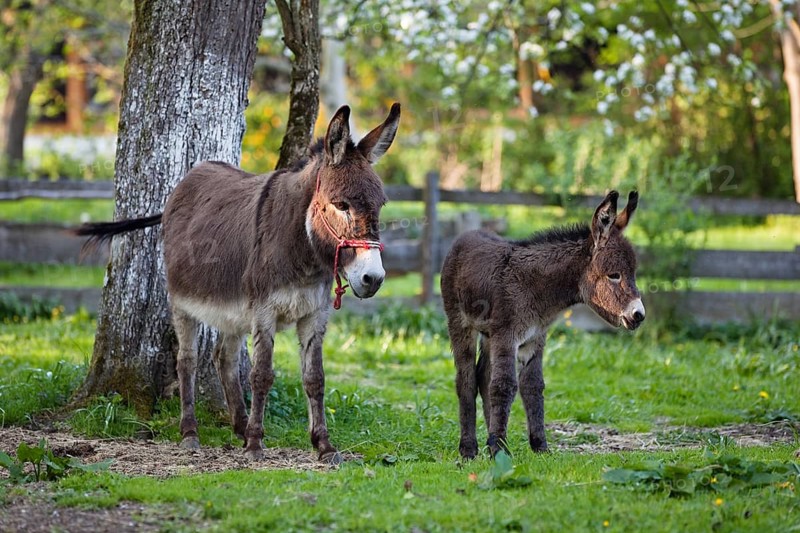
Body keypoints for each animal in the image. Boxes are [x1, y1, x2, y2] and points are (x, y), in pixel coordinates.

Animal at [74, 103, 401, 464]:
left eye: (380, 206)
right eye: (341, 205)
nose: (373, 278)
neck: (303, 252)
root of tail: (188, 180)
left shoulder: (314, 314)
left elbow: (315, 378)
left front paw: (324, 446)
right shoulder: (264, 311)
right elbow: (261, 375)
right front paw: (257, 444)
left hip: (233, 310)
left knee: (224, 358)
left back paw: (239, 426)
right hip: (182, 303)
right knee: (186, 362)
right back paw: (191, 432)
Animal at [440, 190, 644, 458]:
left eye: (633, 274)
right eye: (614, 275)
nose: (639, 315)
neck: (536, 288)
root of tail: (466, 235)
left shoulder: (534, 338)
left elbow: (533, 387)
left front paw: (538, 447)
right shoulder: (507, 335)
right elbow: (504, 386)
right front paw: (499, 450)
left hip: (488, 335)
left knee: (483, 378)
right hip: (460, 323)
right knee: (466, 380)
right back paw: (469, 449)